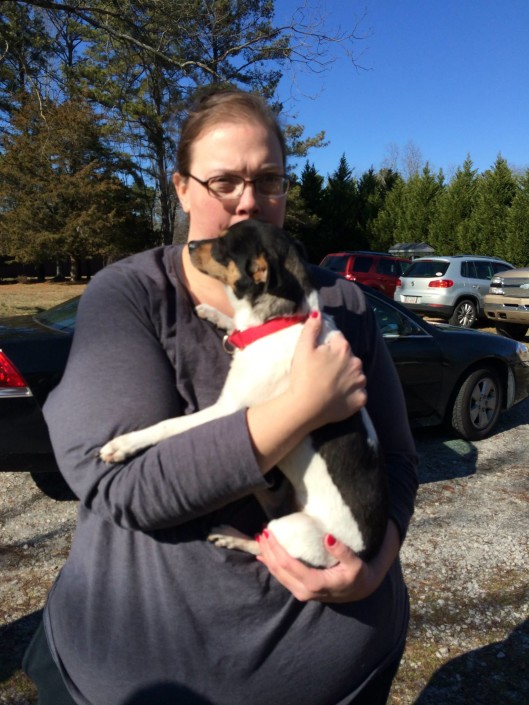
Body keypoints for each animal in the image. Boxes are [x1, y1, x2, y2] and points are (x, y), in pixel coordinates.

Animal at [100, 220, 388, 568]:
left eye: (223, 247)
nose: (190, 244)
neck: (280, 323)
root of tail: (366, 553)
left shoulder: (228, 410)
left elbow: (168, 426)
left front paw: (123, 444)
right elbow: (236, 326)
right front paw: (215, 314)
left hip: (295, 531)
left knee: (266, 547)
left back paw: (235, 537)